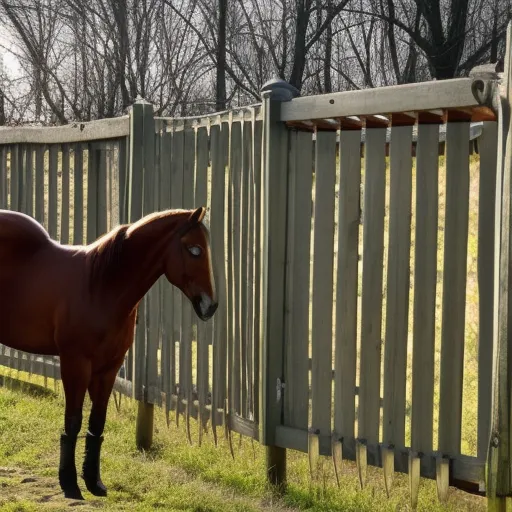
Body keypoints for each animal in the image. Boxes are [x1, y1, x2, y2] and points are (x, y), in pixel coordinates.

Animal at [0, 205, 218, 500]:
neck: (101, 286)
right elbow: (73, 421)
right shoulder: (75, 364)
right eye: (194, 249)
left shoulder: (109, 368)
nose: (210, 305)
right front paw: (69, 483)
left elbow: (97, 423)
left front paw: (94, 482)